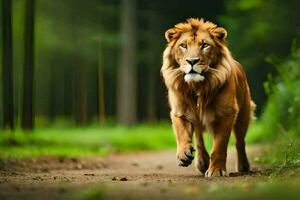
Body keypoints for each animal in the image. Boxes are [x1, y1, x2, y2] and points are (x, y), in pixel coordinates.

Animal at [162, 18, 255, 178]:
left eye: (204, 45)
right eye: (183, 45)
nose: (192, 61)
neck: (198, 87)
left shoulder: (227, 114)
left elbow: (219, 145)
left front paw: (216, 170)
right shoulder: (179, 112)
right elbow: (181, 133)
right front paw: (183, 154)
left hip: (243, 116)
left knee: (240, 141)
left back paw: (243, 166)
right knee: (199, 138)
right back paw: (201, 162)